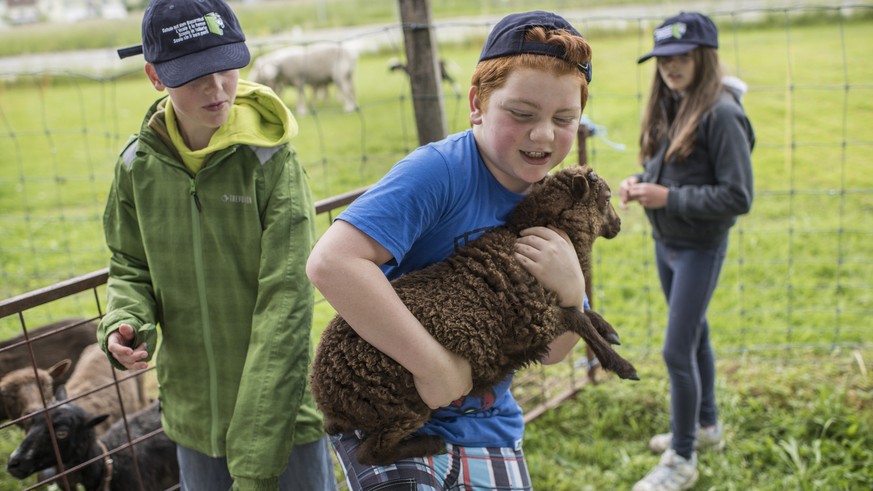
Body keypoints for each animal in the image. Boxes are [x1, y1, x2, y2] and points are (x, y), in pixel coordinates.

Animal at [310, 164, 636, 466]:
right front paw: (623, 366)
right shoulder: (535, 321)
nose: (620, 224)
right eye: (606, 198)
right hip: (400, 408)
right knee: (370, 453)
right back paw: (431, 444)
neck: (528, 233)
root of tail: (324, 397)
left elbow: (585, 312)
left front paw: (610, 331)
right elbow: (579, 319)